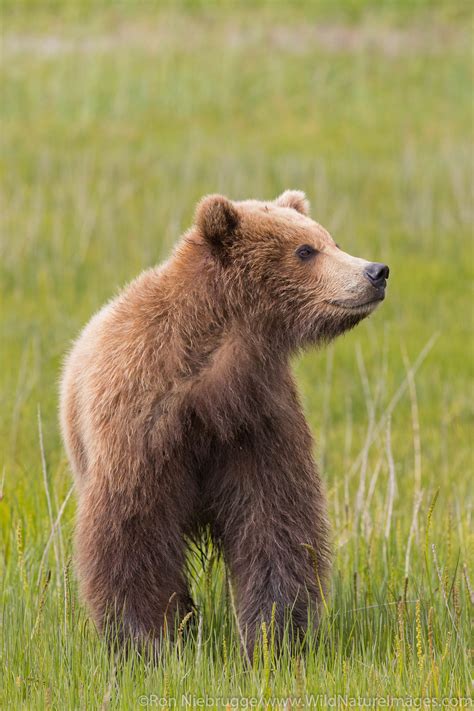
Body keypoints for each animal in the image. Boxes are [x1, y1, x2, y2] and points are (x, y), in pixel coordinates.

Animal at [59, 191, 388, 656]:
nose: (376, 272)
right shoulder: (140, 424)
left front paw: (275, 635)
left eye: (332, 241)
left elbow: (276, 527)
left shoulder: (256, 425)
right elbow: (132, 534)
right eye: (306, 250)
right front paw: (147, 639)